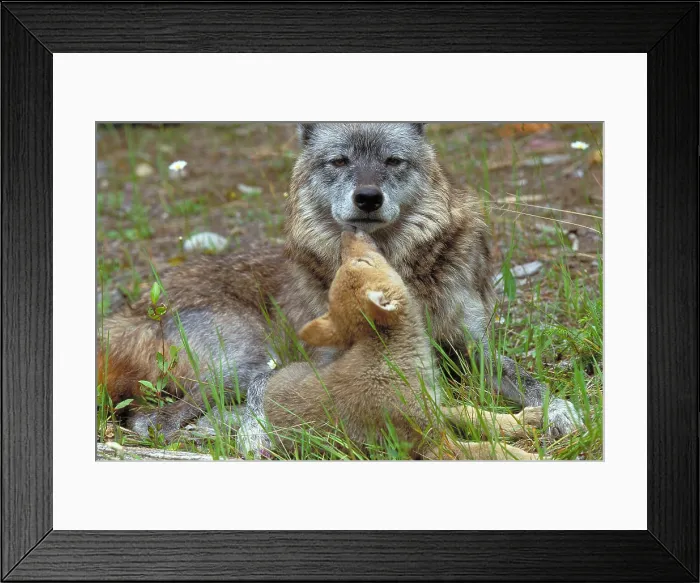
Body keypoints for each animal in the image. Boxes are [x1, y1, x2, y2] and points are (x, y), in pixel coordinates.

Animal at [99, 122, 581, 456]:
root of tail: (132, 311)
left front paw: (560, 410)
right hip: (247, 359)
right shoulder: (326, 363)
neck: (398, 273)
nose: (367, 197)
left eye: (392, 161)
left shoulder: (472, 351)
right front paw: (259, 431)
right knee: (155, 421)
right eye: (340, 161)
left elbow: (534, 381)